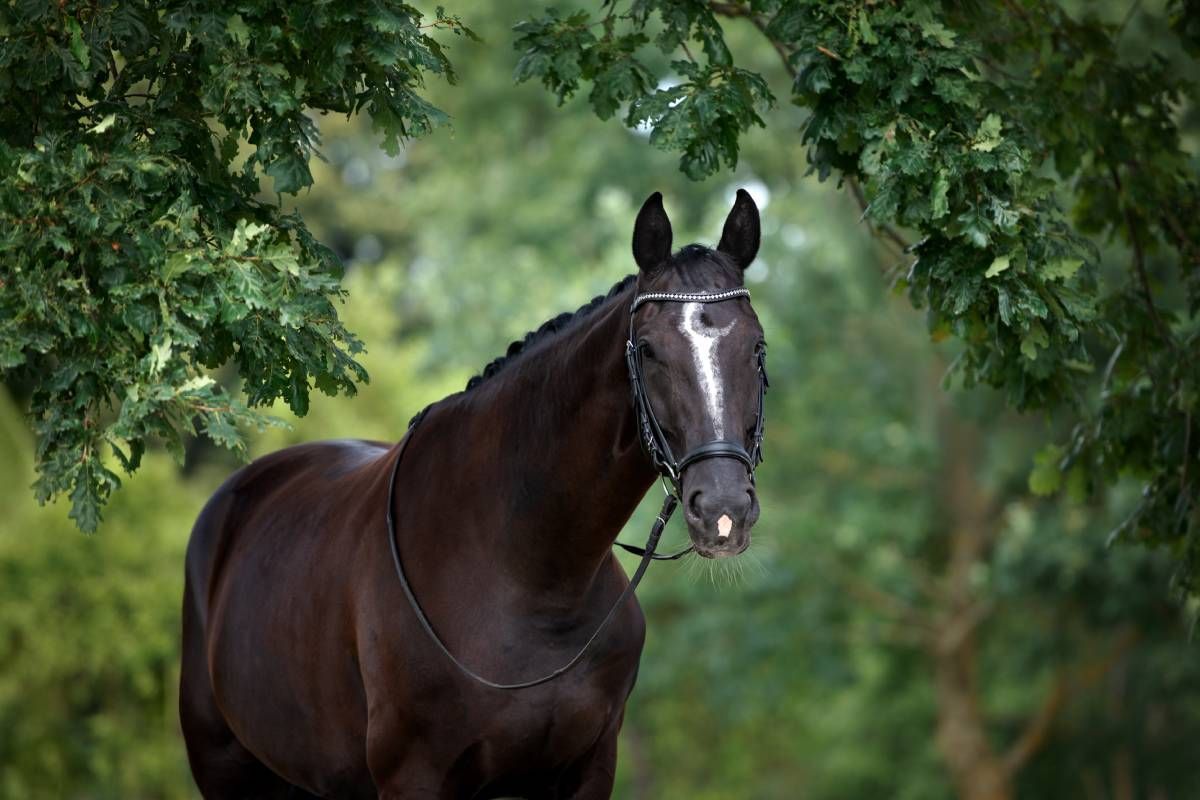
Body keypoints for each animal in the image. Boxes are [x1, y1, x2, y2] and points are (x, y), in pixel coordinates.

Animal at [179, 189, 769, 799]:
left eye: (756, 347)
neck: (530, 576)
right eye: (649, 350)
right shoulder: (413, 776)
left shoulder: (589, 770)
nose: (723, 511)